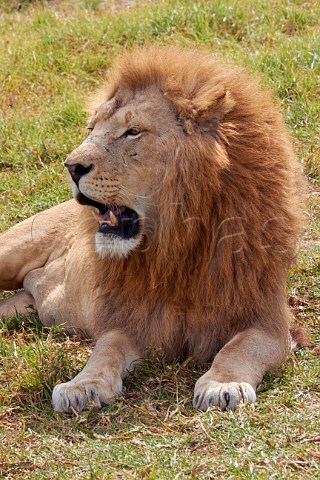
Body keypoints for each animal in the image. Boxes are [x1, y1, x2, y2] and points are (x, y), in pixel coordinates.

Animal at [0, 44, 302, 412]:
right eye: (91, 129)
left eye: (133, 131)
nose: (71, 166)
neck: (176, 244)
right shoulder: (131, 319)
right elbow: (106, 349)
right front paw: (83, 385)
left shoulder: (267, 321)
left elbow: (238, 348)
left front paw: (222, 384)